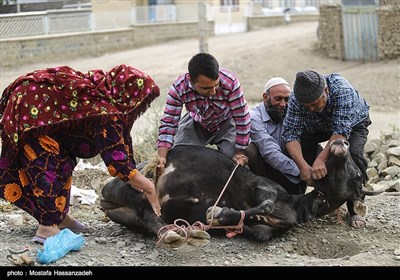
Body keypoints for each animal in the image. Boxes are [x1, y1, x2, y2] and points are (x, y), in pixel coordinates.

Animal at [100, 139, 378, 245]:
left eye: (356, 175)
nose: (341, 141)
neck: (296, 205)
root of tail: (104, 193)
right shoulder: (261, 186)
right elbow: (264, 204)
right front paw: (216, 212)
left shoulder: (265, 230)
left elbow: (255, 227)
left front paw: (219, 217)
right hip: (136, 186)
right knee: (148, 208)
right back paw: (173, 233)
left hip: (129, 213)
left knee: (147, 218)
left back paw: (180, 231)